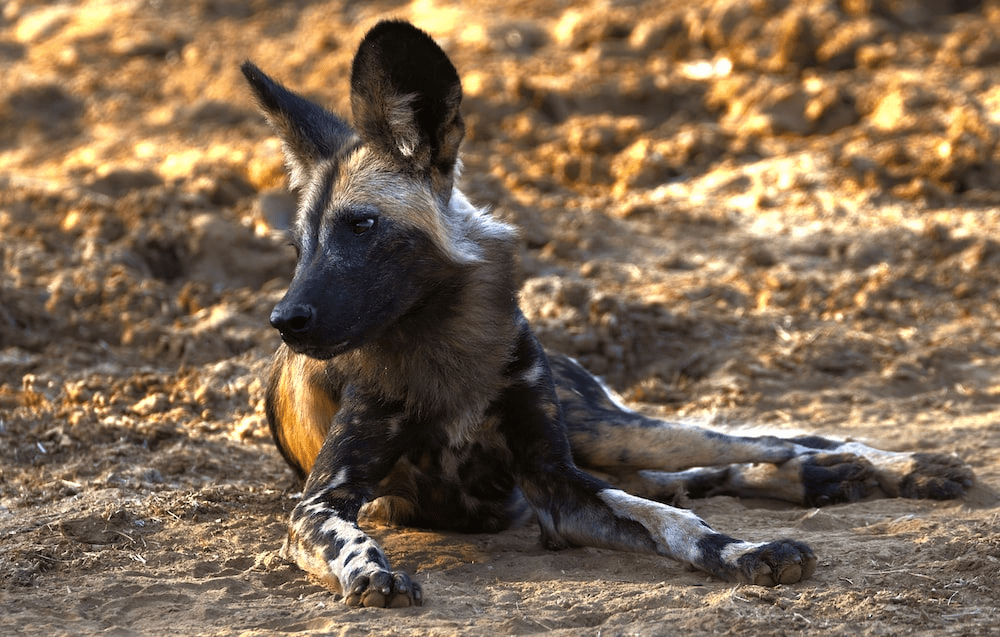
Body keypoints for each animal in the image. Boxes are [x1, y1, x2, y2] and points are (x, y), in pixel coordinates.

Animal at [242, 19, 976, 608]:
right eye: (300, 247)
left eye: (361, 226)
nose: (285, 320)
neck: (449, 345)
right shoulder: (319, 503)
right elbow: (345, 535)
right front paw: (371, 572)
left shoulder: (560, 482)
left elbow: (673, 521)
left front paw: (744, 551)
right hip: (613, 440)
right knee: (707, 471)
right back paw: (827, 481)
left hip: (612, 429)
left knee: (769, 442)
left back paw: (898, 468)